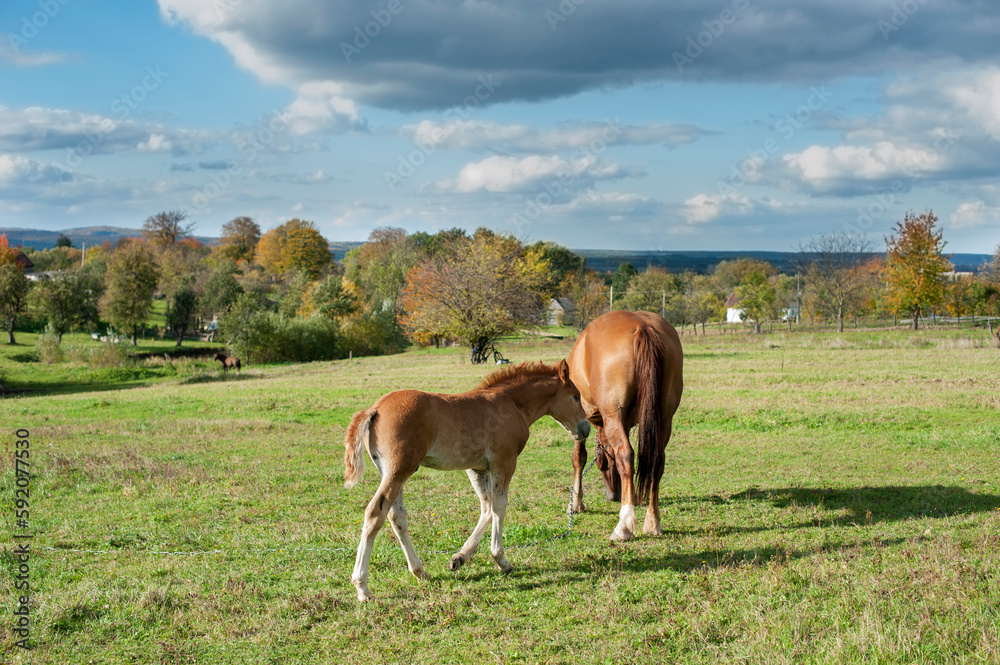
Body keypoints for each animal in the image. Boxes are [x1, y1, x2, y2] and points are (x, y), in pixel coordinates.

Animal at [346, 360, 588, 600]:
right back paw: (362, 586)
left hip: (394, 473)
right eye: (576, 396)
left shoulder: (476, 468)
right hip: (398, 472)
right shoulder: (504, 462)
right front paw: (501, 560)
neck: (511, 402)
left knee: (397, 516)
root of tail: (375, 409)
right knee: (375, 513)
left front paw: (460, 557)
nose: (585, 428)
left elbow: (487, 507)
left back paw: (419, 571)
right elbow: (499, 507)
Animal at [568, 312, 684, 540]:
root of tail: (642, 327)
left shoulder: (582, 419)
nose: (613, 495)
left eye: (602, 464)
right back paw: (653, 522)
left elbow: (579, 457)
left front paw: (576, 503)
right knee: (657, 461)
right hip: (664, 418)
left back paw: (623, 526)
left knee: (626, 455)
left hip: (615, 415)